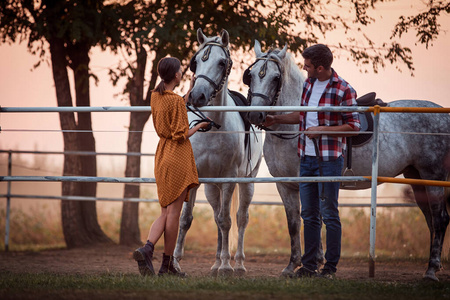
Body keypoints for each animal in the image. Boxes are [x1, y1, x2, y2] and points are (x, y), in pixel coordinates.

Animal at [173, 28, 264, 276]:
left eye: (222, 62)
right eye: (195, 62)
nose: (197, 96)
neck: (212, 127)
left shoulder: (228, 180)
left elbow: (226, 221)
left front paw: (226, 266)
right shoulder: (195, 179)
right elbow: (186, 219)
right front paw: (175, 262)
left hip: (246, 181)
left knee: (241, 218)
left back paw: (237, 264)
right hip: (212, 187)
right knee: (217, 216)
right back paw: (215, 263)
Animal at [244, 39, 450, 282]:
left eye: (276, 78)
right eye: (252, 75)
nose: (255, 115)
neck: (291, 130)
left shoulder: (312, 181)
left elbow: (315, 219)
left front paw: (315, 263)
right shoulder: (284, 184)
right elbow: (294, 223)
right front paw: (292, 265)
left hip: (433, 177)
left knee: (440, 219)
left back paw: (431, 270)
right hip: (416, 177)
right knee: (430, 220)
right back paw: (433, 266)